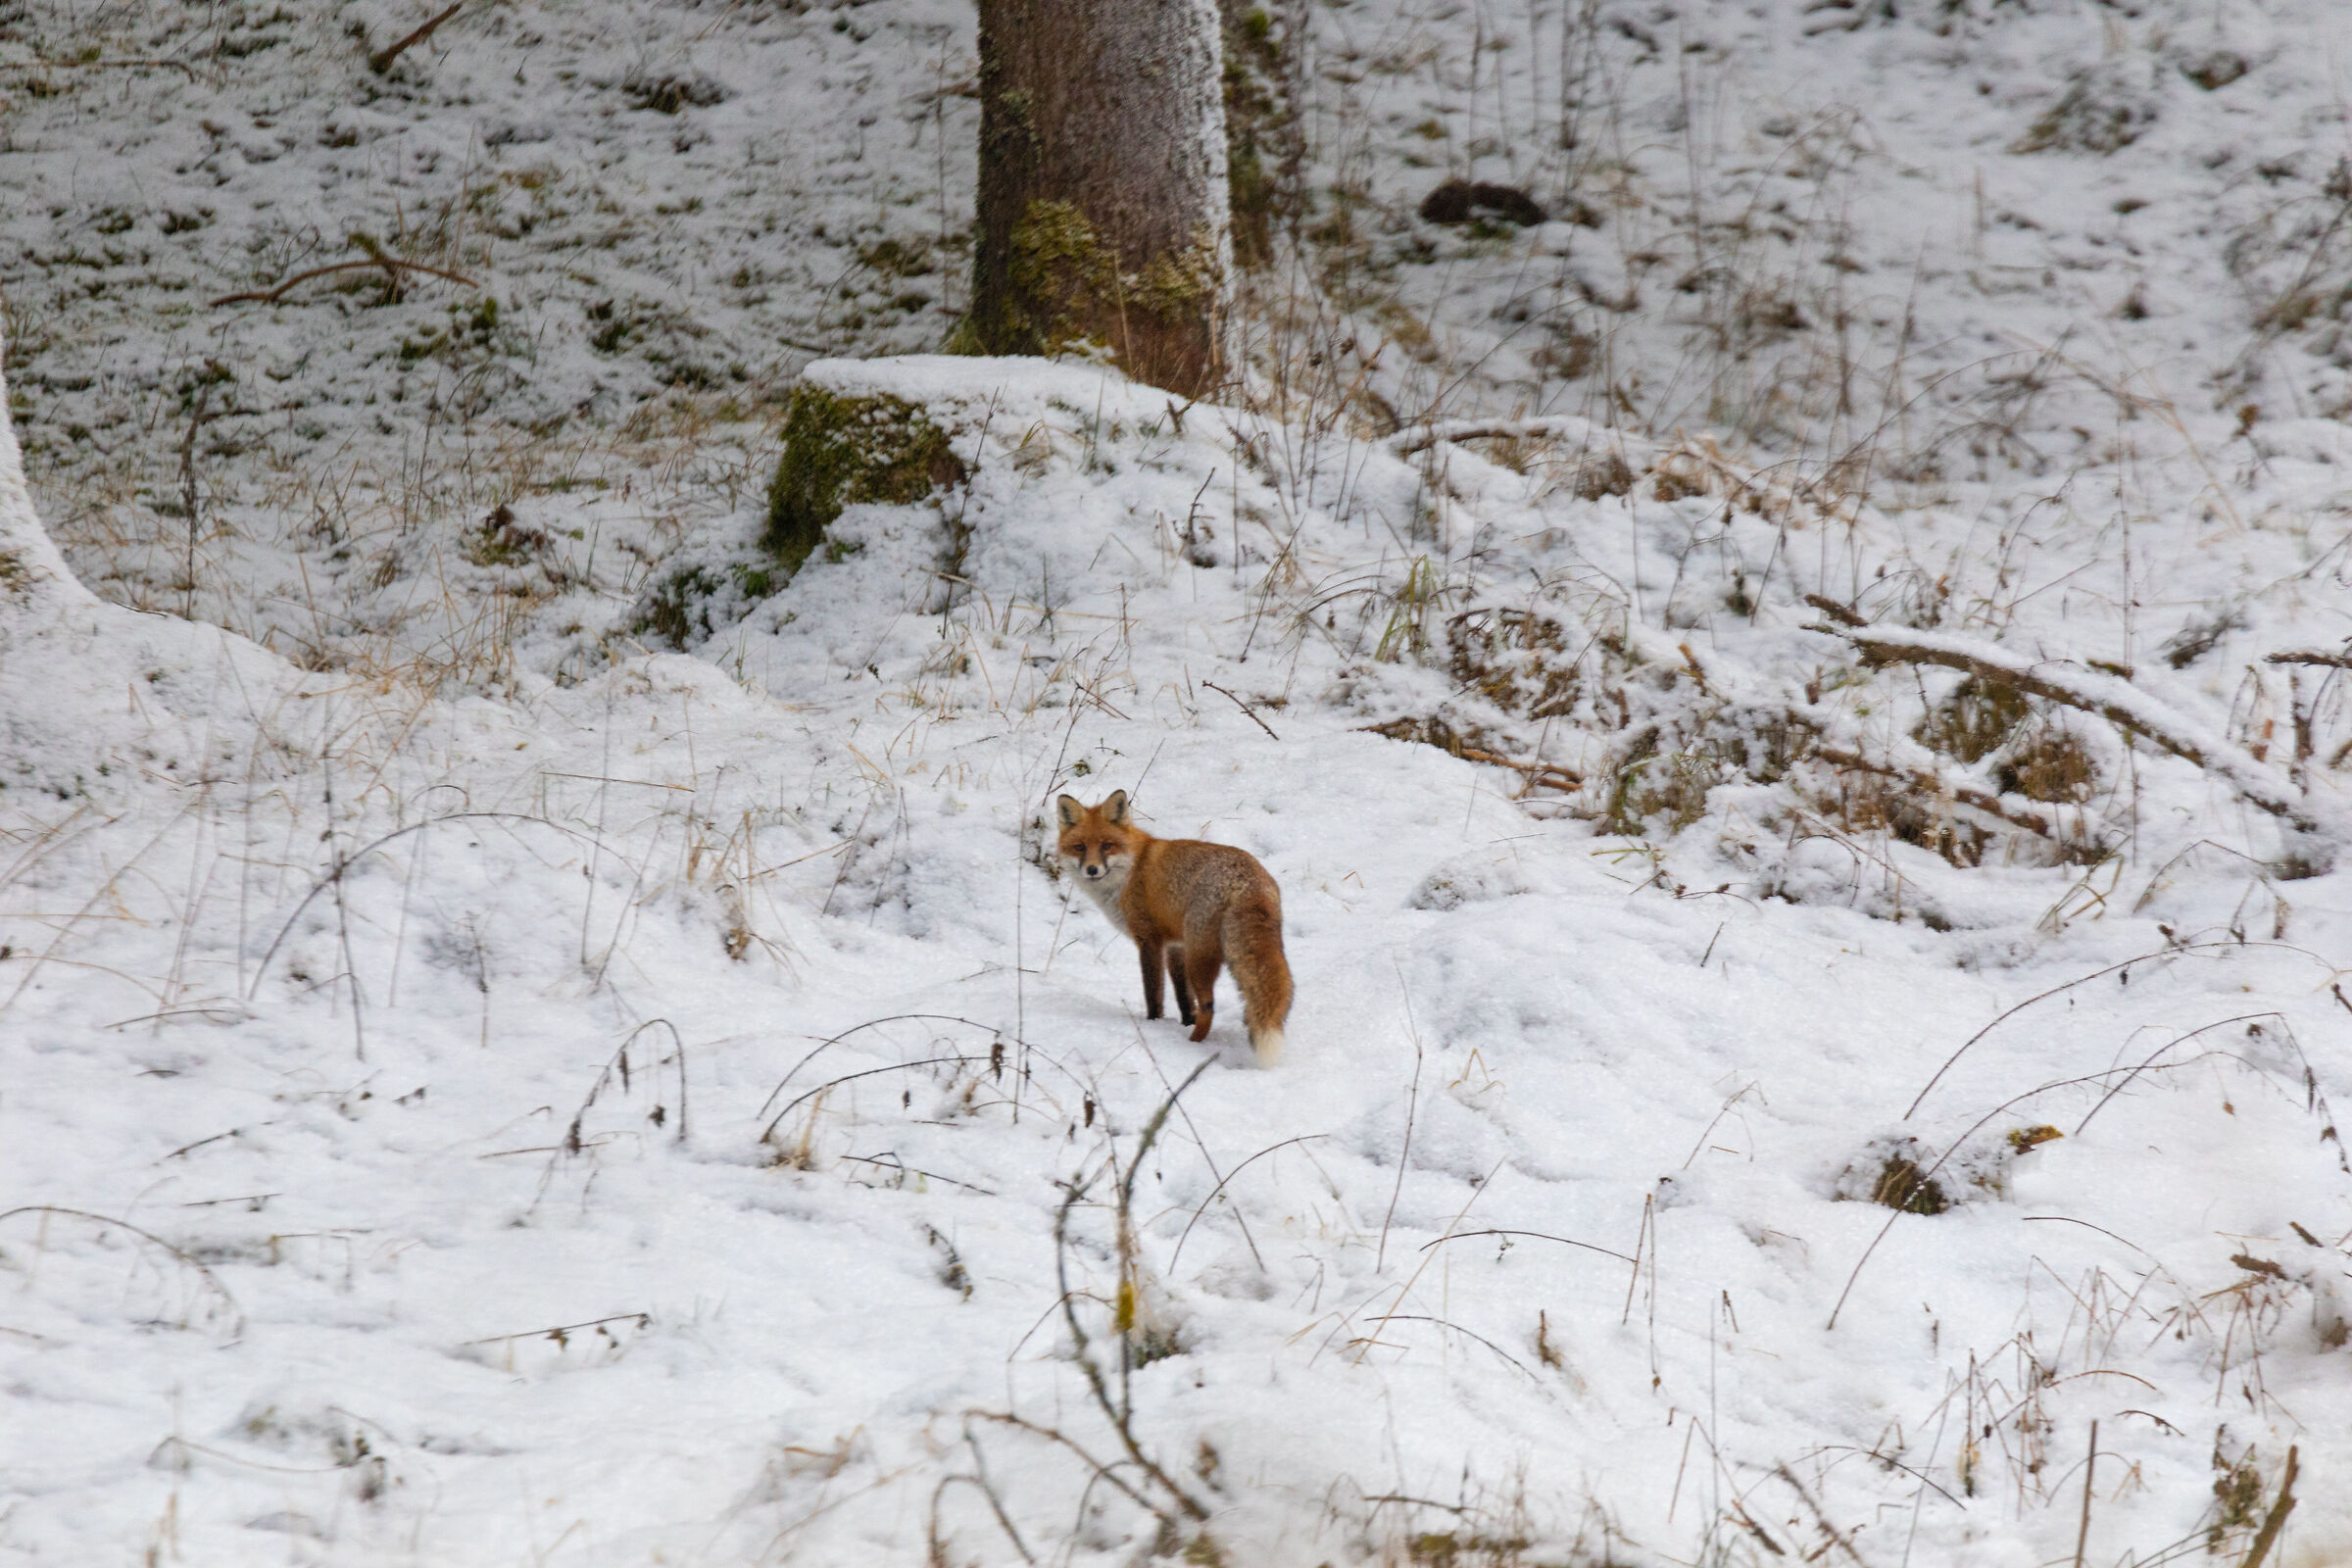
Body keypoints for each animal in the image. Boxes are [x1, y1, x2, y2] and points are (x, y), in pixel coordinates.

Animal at [1054, 790, 1292, 1067]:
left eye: (1106, 845)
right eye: (1080, 847)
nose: (1092, 869)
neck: (1132, 868)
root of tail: (1246, 882)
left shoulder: (1148, 939)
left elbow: (1154, 992)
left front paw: (1154, 1023)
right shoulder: (1175, 945)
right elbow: (1182, 996)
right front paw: (1185, 1021)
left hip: (1198, 958)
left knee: (1209, 1005)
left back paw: (1193, 1043)